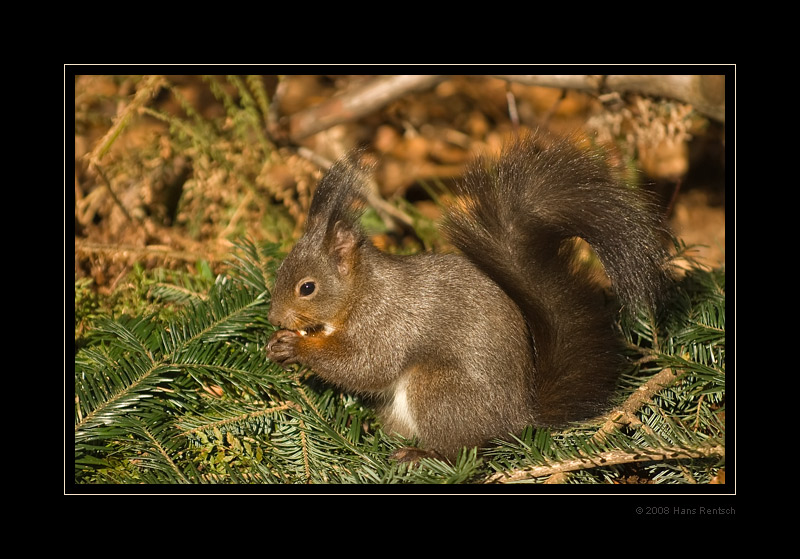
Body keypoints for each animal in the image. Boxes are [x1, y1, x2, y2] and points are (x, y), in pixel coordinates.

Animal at [266, 132, 672, 464]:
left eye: (307, 287)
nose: (273, 319)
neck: (361, 290)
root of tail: (518, 418)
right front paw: (277, 343)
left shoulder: (387, 322)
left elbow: (367, 365)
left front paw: (295, 347)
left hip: (437, 389)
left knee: (464, 451)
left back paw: (421, 455)